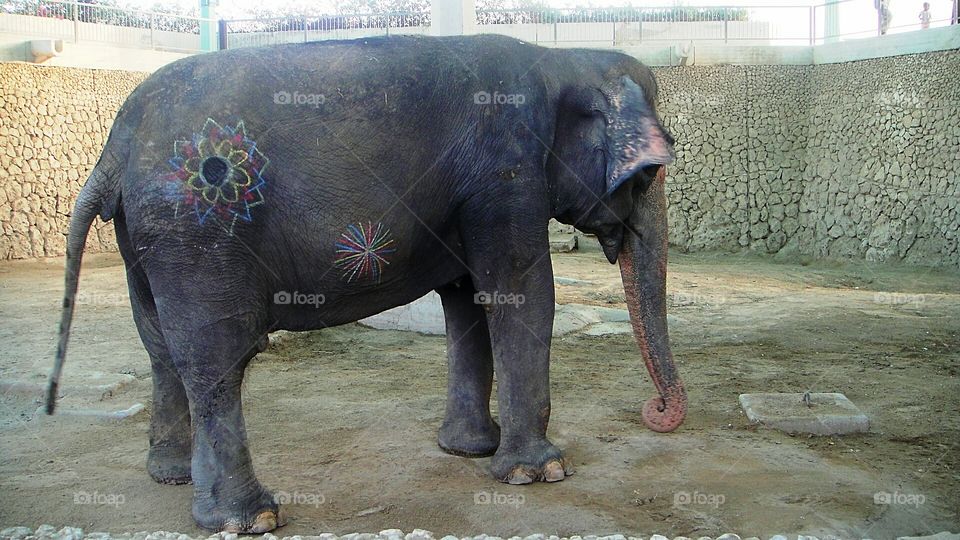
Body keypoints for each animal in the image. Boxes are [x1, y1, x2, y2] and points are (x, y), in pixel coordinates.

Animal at [46, 34, 686, 533]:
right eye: (647, 176)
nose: (655, 412)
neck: (562, 60)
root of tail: (117, 143)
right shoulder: (506, 176)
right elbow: (522, 293)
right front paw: (540, 472)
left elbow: (467, 299)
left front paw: (469, 450)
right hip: (198, 230)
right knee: (217, 357)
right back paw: (251, 518)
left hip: (144, 239)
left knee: (160, 348)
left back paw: (175, 480)